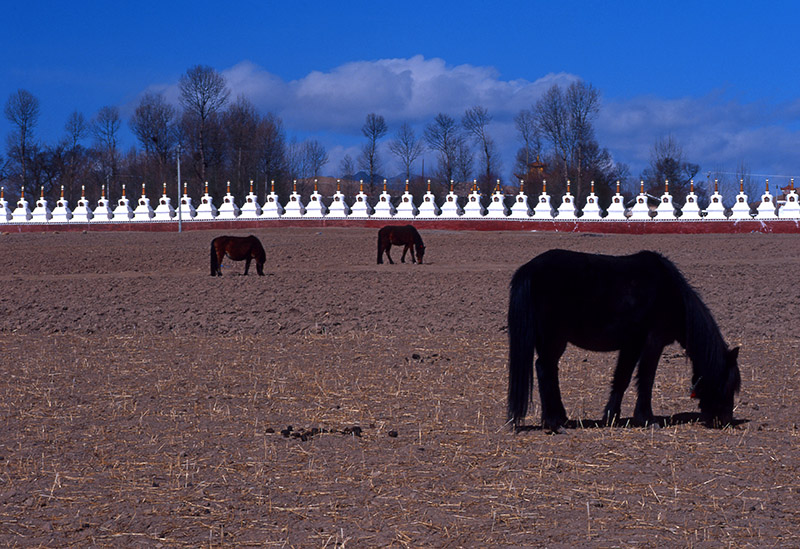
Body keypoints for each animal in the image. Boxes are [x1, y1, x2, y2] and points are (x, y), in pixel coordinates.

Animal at [510, 249, 740, 432]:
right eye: (727, 385)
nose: (725, 420)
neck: (670, 293)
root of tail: (529, 269)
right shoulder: (652, 342)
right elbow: (646, 378)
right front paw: (646, 419)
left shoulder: (631, 345)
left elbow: (622, 378)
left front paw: (611, 416)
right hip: (553, 339)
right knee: (544, 369)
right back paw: (553, 423)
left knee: (549, 370)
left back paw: (560, 419)